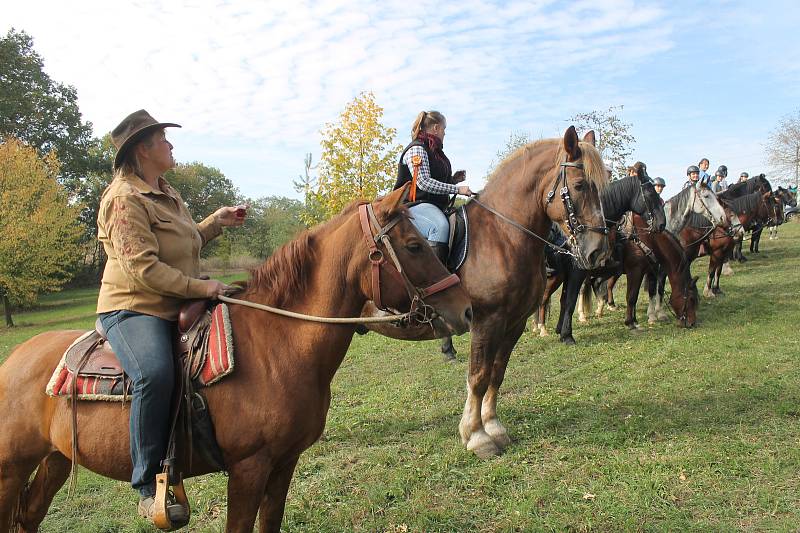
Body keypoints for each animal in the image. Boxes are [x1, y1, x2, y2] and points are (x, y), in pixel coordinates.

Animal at [0, 186, 476, 532]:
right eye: (414, 245)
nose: (466, 309)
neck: (276, 344)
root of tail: (14, 360)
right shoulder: (249, 469)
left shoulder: (284, 465)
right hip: (10, 470)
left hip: (55, 460)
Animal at [360, 125, 608, 458]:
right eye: (580, 185)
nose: (597, 251)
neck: (502, 236)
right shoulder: (486, 321)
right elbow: (478, 376)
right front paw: (476, 436)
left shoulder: (514, 322)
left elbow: (497, 372)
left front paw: (494, 427)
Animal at [536, 164, 664, 342]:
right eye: (650, 193)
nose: (662, 223)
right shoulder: (577, 273)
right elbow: (570, 301)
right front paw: (567, 335)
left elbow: (564, 300)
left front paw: (560, 329)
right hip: (554, 277)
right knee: (543, 300)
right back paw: (541, 329)